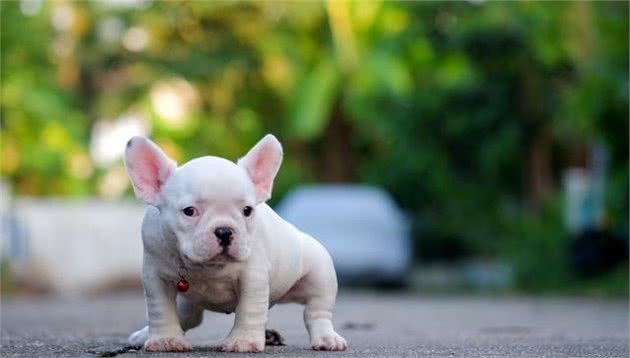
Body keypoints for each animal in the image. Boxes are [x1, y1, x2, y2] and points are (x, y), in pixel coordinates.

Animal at [123, 134, 350, 352]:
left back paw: (326, 338)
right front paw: (166, 340)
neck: (208, 267)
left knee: (316, 311)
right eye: (189, 211)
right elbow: (161, 310)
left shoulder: (253, 277)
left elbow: (249, 310)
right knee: (187, 317)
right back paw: (143, 335)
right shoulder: (156, 277)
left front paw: (243, 341)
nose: (224, 231)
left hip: (321, 274)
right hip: (189, 302)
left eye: (247, 210)